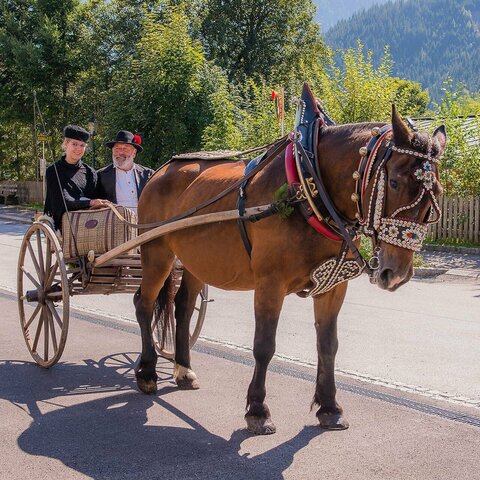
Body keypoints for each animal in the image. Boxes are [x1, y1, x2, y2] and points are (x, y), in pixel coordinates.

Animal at [132, 106, 446, 436]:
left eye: (436, 190)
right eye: (395, 182)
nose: (395, 272)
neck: (309, 190)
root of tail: (160, 172)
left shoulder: (333, 287)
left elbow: (328, 345)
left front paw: (330, 407)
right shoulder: (270, 284)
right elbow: (264, 346)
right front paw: (257, 410)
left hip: (195, 261)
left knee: (182, 308)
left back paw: (184, 370)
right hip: (157, 252)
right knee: (145, 303)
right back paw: (148, 373)